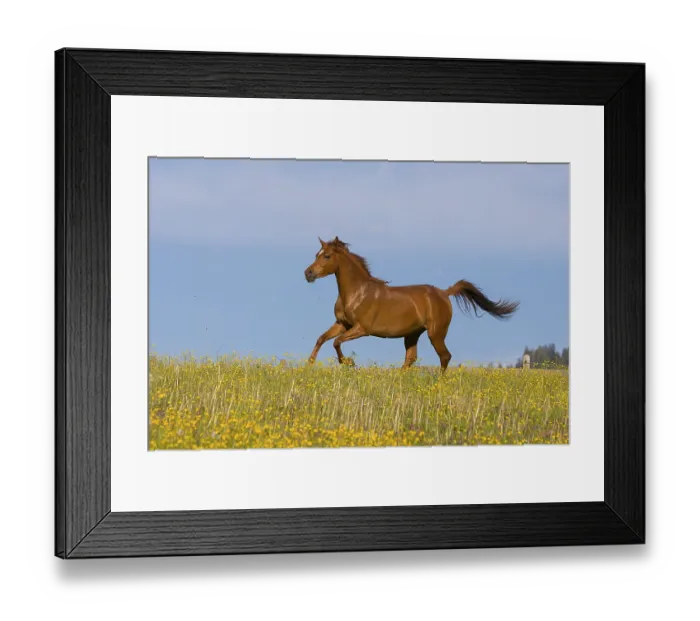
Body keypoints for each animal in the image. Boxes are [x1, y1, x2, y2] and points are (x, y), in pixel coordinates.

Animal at [304, 237, 520, 371]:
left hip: (436, 333)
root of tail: (444, 293)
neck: (357, 293)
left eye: (327, 256)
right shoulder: (342, 324)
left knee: (445, 356)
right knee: (410, 359)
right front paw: (309, 365)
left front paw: (349, 363)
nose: (308, 273)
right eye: (316, 254)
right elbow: (321, 339)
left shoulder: (362, 329)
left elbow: (336, 342)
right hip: (412, 334)